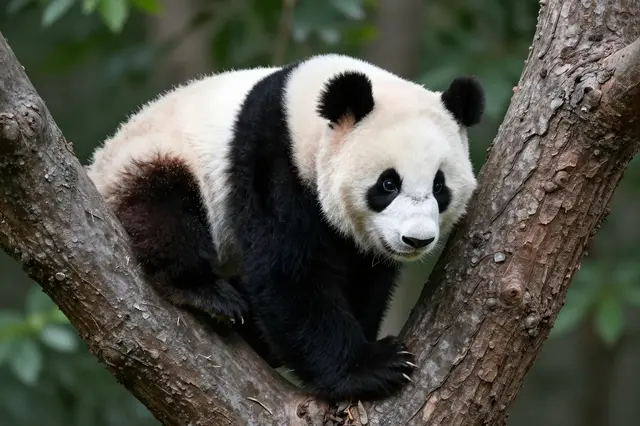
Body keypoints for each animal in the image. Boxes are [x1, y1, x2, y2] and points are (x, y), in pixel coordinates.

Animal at [86, 53, 484, 402]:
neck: (302, 116)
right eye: (388, 184)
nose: (416, 239)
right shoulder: (270, 163)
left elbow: (364, 278)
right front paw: (372, 368)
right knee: (164, 206)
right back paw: (205, 292)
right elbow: (286, 271)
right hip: (149, 158)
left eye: (439, 186)